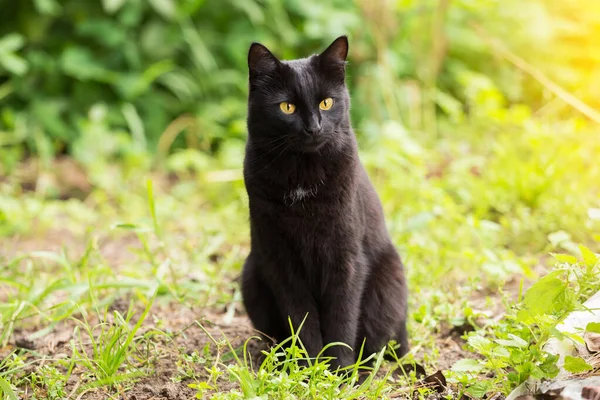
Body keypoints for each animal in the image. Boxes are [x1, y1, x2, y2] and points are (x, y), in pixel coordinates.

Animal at [241, 36, 410, 370]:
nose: (314, 127)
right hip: (251, 276)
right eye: (287, 107)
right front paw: (310, 367)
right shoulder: (281, 261)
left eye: (326, 103)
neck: (302, 179)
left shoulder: (345, 258)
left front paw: (339, 370)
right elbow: (301, 319)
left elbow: (341, 319)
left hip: (388, 285)